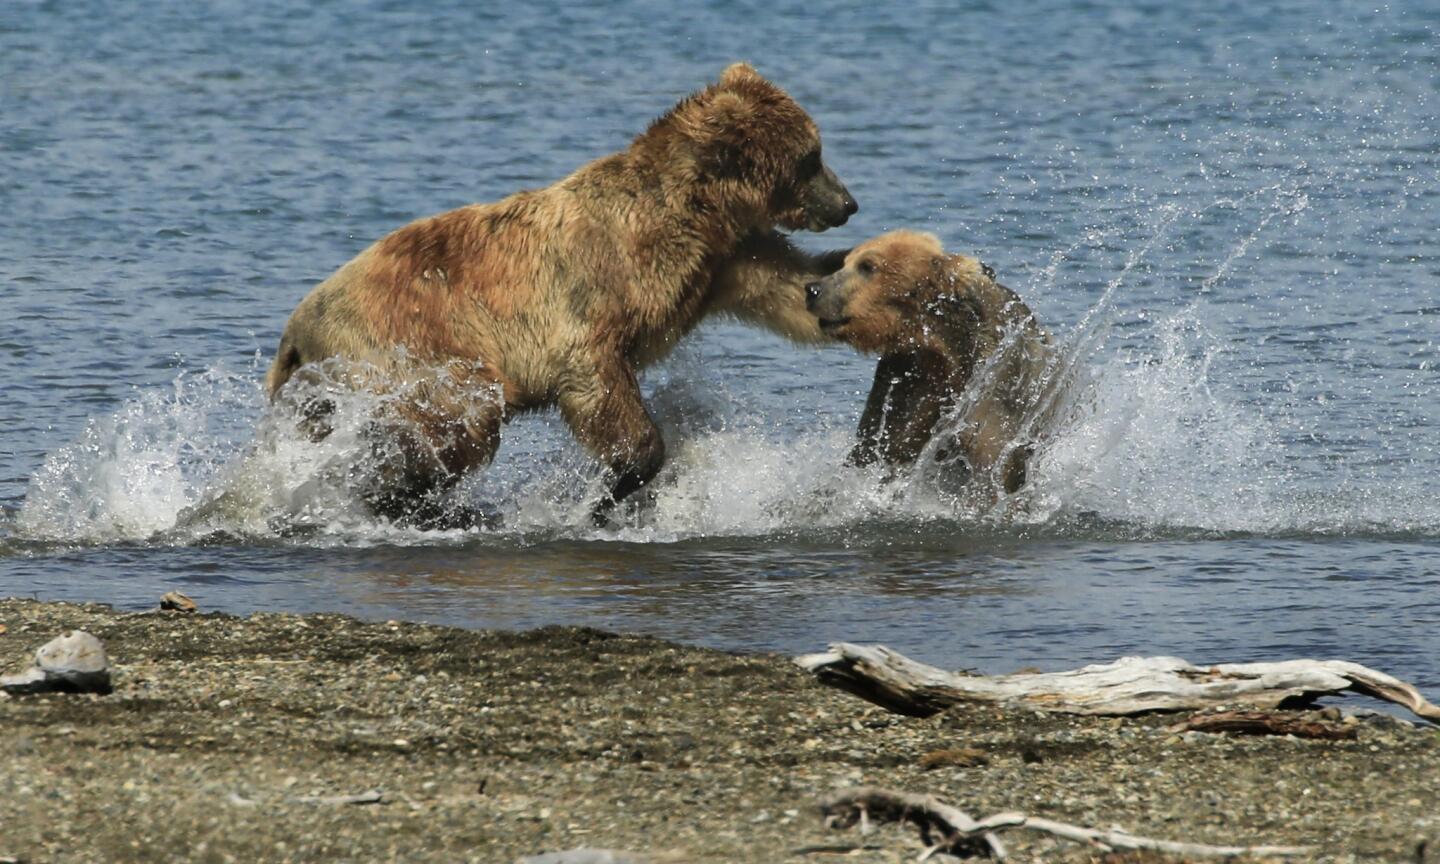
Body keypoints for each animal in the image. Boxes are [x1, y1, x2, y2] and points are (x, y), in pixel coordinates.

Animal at [264, 64, 852, 524]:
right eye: (811, 157)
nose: (848, 203)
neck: (695, 214)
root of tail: (295, 332)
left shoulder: (727, 260)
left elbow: (796, 293)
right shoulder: (594, 286)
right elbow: (597, 378)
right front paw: (615, 482)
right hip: (410, 348)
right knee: (459, 423)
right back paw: (407, 496)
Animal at [812, 231, 1059, 498]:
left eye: (867, 265)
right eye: (845, 262)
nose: (813, 289)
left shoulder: (992, 387)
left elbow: (990, 466)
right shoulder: (906, 382)